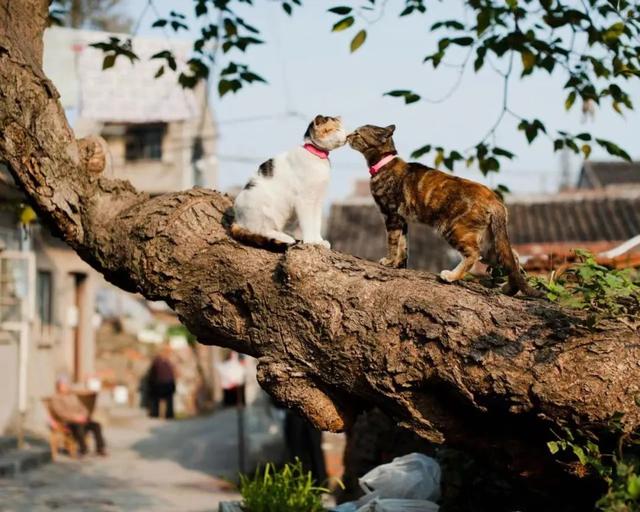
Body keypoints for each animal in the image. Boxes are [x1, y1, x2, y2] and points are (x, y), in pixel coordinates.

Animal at [232, 114, 348, 250]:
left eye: (343, 129)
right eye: (337, 129)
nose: (347, 135)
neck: (318, 157)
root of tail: (237, 219)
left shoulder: (318, 200)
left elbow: (316, 223)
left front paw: (319, 241)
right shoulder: (304, 200)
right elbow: (308, 223)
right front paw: (310, 241)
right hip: (267, 211)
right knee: (262, 231)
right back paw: (287, 238)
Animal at [348, 124, 544, 298]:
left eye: (357, 133)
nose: (348, 135)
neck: (383, 164)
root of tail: (494, 199)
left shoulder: (391, 214)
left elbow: (393, 242)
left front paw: (388, 261)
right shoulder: (402, 219)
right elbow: (403, 245)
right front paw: (398, 264)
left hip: (455, 229)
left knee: (474, 254)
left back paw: (451, 276)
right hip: (490, 242)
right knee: (513, 260)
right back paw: (509, 289)